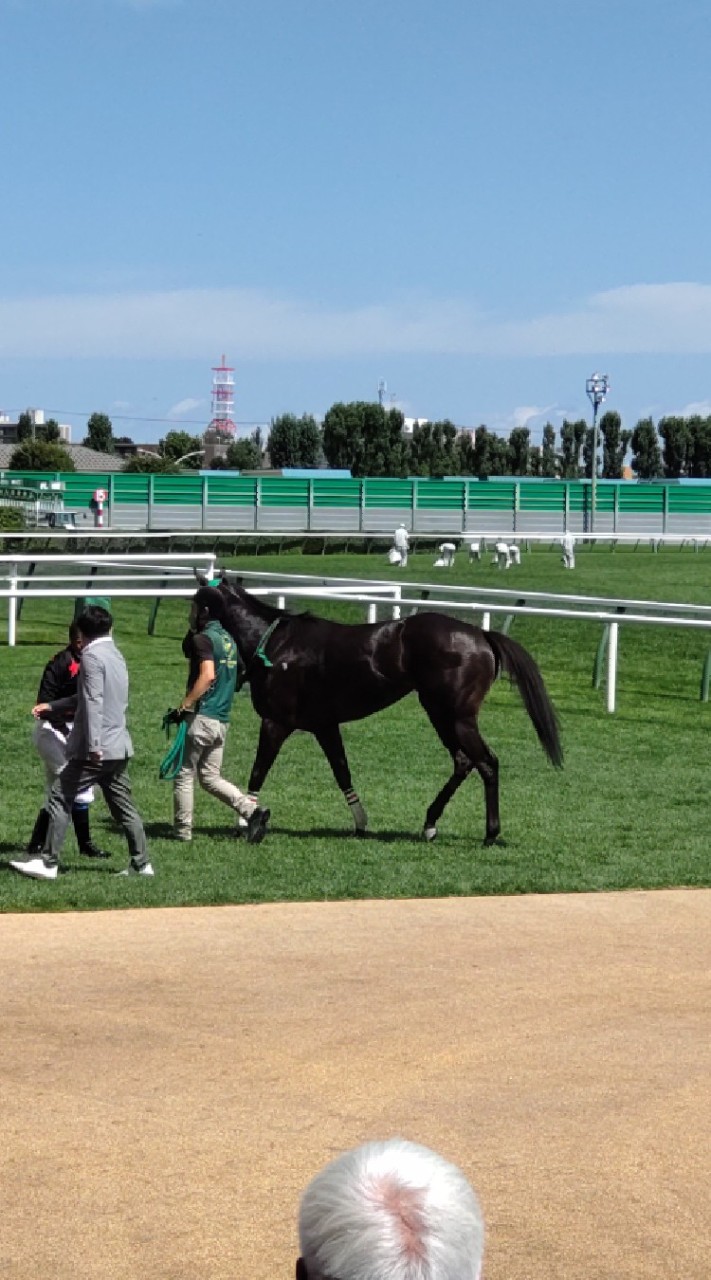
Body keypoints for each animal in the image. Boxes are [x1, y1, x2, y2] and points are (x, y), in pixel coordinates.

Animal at [203, 576, 563, 844]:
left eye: (197, 604)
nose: (193, 640)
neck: (277, 646)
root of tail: (481, 634)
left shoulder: (276, 722)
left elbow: (258, 771)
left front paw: (246, 821)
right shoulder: (324, 725)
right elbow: (342, 772)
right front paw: (361, 822)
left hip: (456, 716)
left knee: (486, 763)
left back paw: (490, 833)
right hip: (440, 713)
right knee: (464, 761)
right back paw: (430, 823)